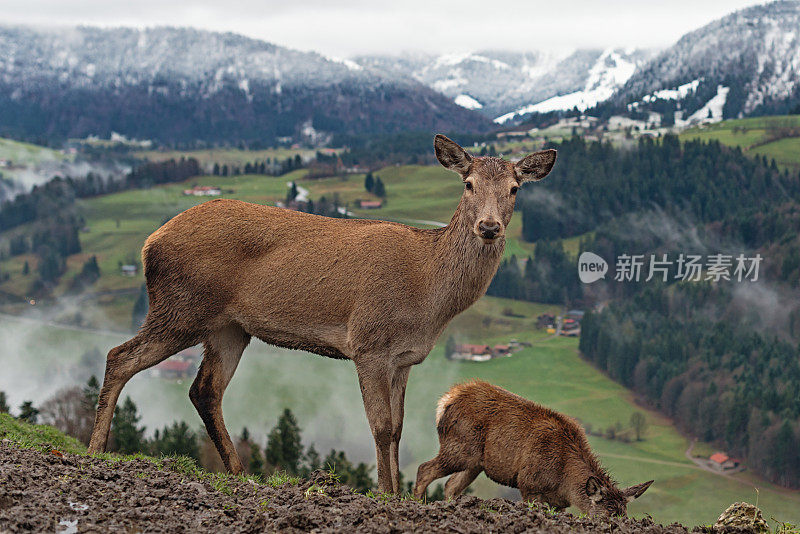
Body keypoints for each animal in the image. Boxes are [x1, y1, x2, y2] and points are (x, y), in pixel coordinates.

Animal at [87, 134, 556, 494]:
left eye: (515, 188)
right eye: (468, 183)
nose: (489, 227)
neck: (427, 293)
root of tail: (150, 243)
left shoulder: (405, 359)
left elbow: (400, 428)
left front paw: (402, 493)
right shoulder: (368, 343)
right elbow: (381, 426)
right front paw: (386, 494)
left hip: (228, 328)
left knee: (204, 389)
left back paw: (241, 474)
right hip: (182, 306)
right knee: (119, 356)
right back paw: (95, 452)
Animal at [416, 382, 652, 516]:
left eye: (624, 516)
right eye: (607, 517)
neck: (563, 479)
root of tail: (446, 400)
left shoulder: (559, 503)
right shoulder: (529, 484)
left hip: (475, 463)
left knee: (451, 485)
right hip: (460, 447)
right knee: (424, 469)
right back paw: (416, 502)